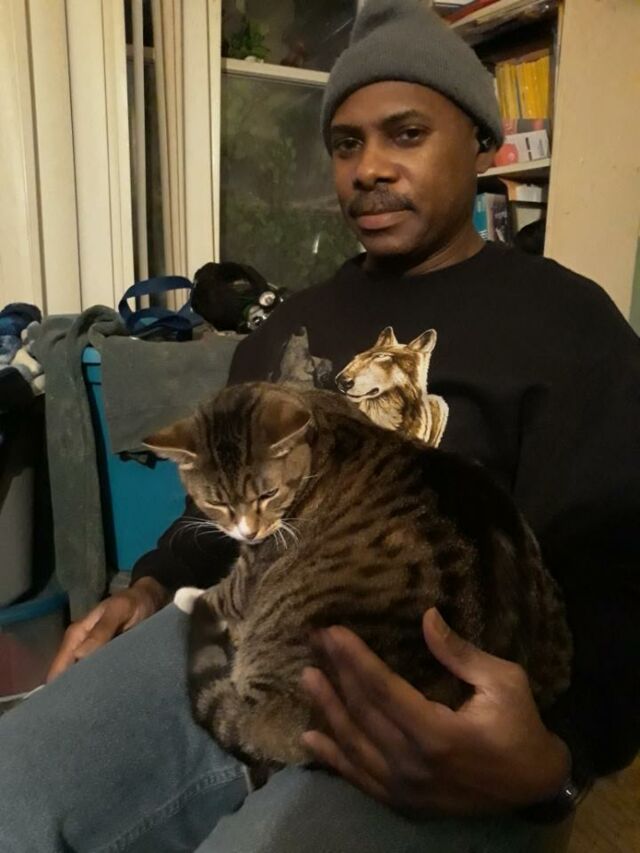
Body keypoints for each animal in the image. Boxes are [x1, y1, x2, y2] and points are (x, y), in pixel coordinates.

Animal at [145, 382, 571, 771]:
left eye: (268, 494)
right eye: (215, 502)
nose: (247, 532)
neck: (320, 425)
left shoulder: (257, 566)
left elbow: (223, 594)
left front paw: (188, 595)